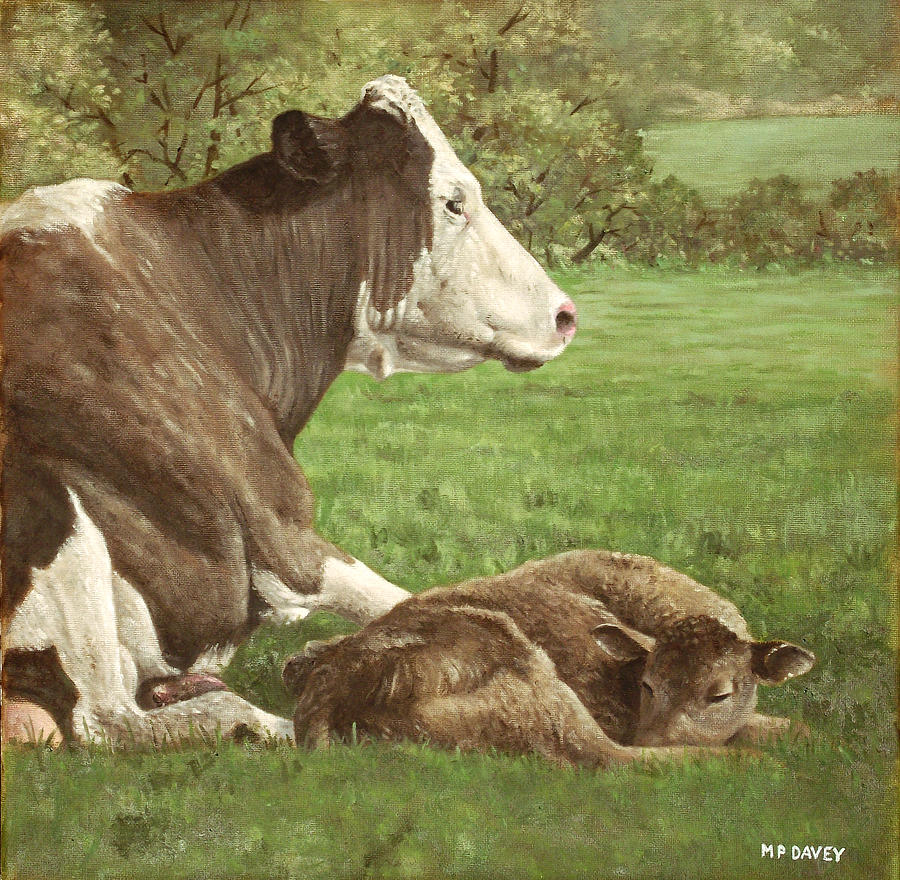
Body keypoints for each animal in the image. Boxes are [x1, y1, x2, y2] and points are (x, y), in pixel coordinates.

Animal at [0, 76, 577, 745]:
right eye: (455, 201)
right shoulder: (279, 527)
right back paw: (263, 721)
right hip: (56, 519)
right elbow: (436, 602)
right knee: (109, 722)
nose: (566, 315)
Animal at [283, 550, 815, 767]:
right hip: (542, 692)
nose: (653, 737)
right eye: (648, 684)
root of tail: (332, 686)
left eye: (719, 693)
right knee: (610, 760)